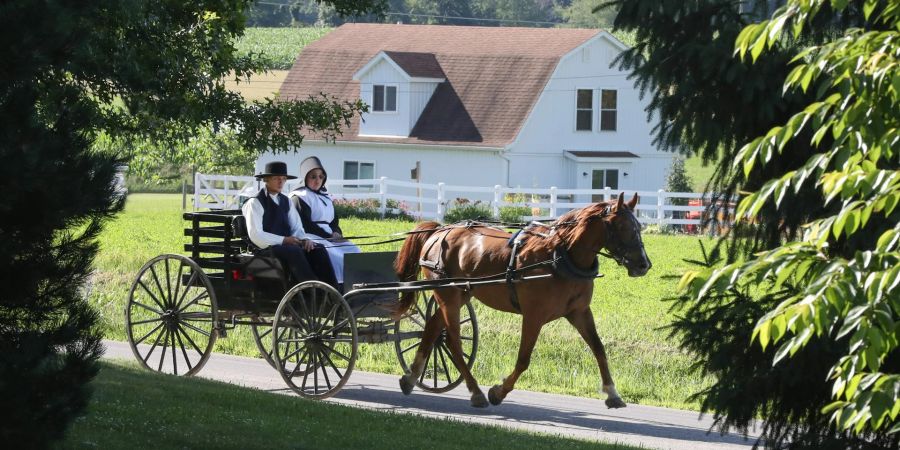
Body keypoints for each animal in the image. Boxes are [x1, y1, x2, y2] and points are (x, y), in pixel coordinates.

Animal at [390, 192, 652, 408]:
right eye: (622, 226)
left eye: (638, 226)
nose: (644, 264)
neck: (559, 255)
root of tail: (439, 231)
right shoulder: (534, 315)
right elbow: (524, 359)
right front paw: (498, 392)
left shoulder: (579, 312)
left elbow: (599, 348)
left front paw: (612, 393)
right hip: (448, 295)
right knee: (454, 341)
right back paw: (475, 391)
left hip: (461, 293)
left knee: (433, 327)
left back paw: (410, 378)